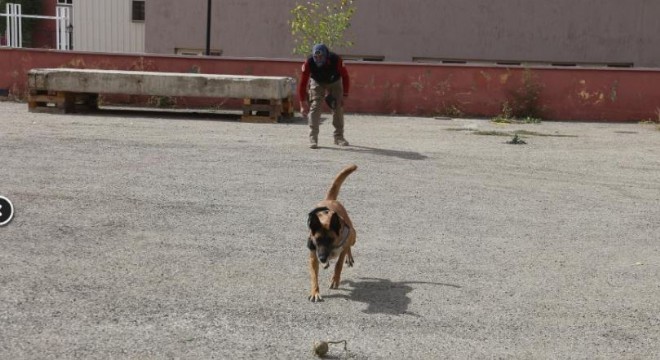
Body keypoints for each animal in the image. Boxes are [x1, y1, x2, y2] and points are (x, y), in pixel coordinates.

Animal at [308, 165, 358, 302]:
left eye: (331, 239)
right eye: (317, 239)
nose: (322, 258)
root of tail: (330, 199)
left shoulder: (342, 247)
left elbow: (338, 265)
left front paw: (335, 280)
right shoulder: (313, 255)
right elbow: (314, 275)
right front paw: (315, 292)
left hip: (353, 235)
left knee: (349, 246)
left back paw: (348, 257)